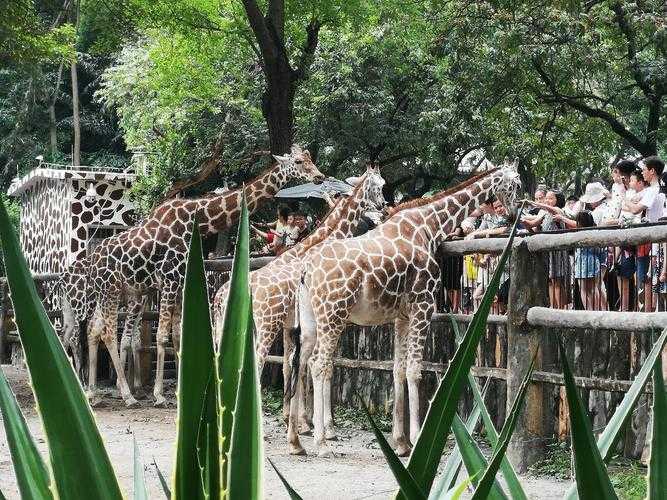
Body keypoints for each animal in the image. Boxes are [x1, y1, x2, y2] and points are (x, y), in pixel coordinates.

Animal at [61, 146, 324, 408]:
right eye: (299, 162)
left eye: (310, 158)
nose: (319, 177)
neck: (198, 220)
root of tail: (93, 261)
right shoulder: (169, 279)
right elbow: (161, 336)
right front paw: (159, 395)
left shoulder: (180, 280)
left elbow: (178, 335)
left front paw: (182, 391)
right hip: (112, 290)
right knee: (105, 332)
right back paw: (126, 395)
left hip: (113, 292)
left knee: (94, 329)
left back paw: (93, 392)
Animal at [211, 164, 388, 446]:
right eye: (378, 186)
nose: (384, 207)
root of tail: (219, 296)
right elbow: (320, 367)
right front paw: (323, 427)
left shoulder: (292, 327)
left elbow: (293, 366)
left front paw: (298, 422)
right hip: (265, 325)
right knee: (256, 363)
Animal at [294, 161, 520, 458]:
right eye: (516, 183)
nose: (516, 212)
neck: (427, 226)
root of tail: (307, 269)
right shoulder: (423, 306)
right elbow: (415, 370)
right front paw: (417, 438)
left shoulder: (401, 316)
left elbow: (398, 370)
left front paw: (400, 442)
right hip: (333, 313)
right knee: (319, 363)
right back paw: (321, 442)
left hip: (312, 317)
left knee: (305, 360)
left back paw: (299, 438)